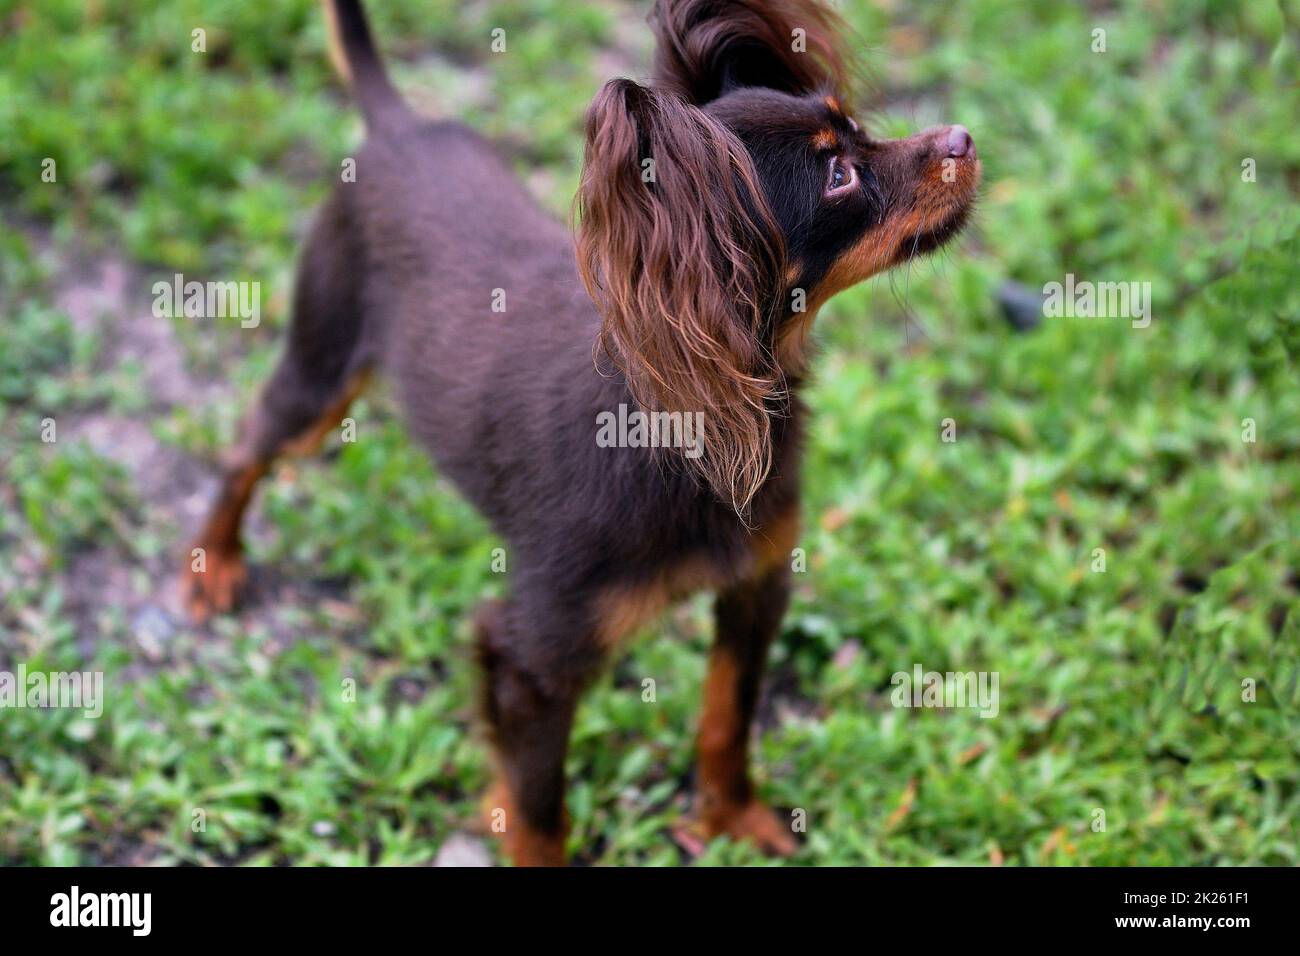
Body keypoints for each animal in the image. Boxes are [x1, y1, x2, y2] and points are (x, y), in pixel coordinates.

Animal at [180, 1, 977, 868]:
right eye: (839, 175)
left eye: (857, 127)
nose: (964, 138)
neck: (695, 421)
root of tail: (398, 124)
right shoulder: (533, 661)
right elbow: (540, 812)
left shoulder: (756, 589)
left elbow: (726, 720)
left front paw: (733, 819)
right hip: (320, 372)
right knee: (249, 449)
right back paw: (214, 562)